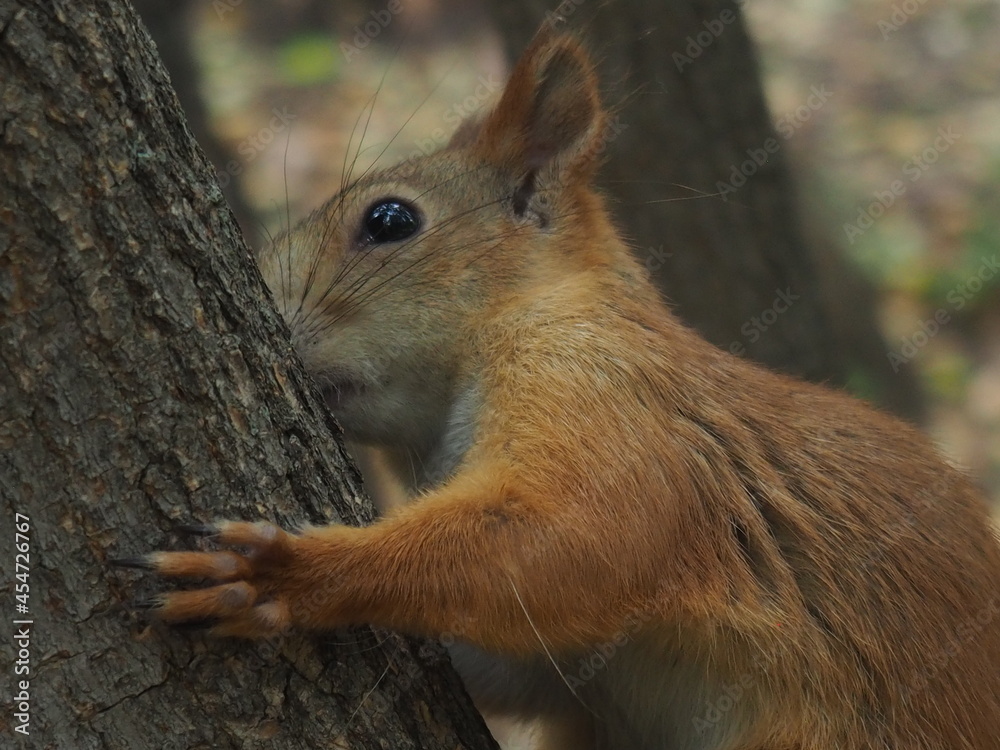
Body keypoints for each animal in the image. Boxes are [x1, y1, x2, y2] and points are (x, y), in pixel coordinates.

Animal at [123, 26, 1000, 750]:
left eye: (391, 220)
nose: (274, 305)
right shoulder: (565, 666)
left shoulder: (602, 389)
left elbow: (574, 535)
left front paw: (283, 575)